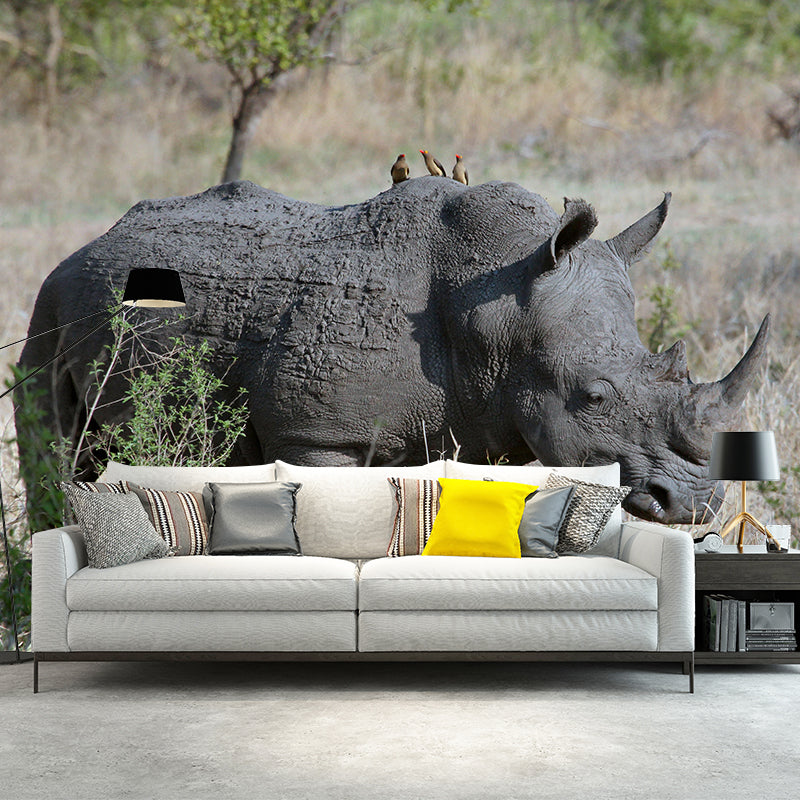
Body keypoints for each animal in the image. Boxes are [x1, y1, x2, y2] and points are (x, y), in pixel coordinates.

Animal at [18, 177, 768, 524]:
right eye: (593, 397)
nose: (695, 507)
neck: (495, 306)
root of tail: (86, 247)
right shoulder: (319, 433)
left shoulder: (482, 422)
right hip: (55, 300)